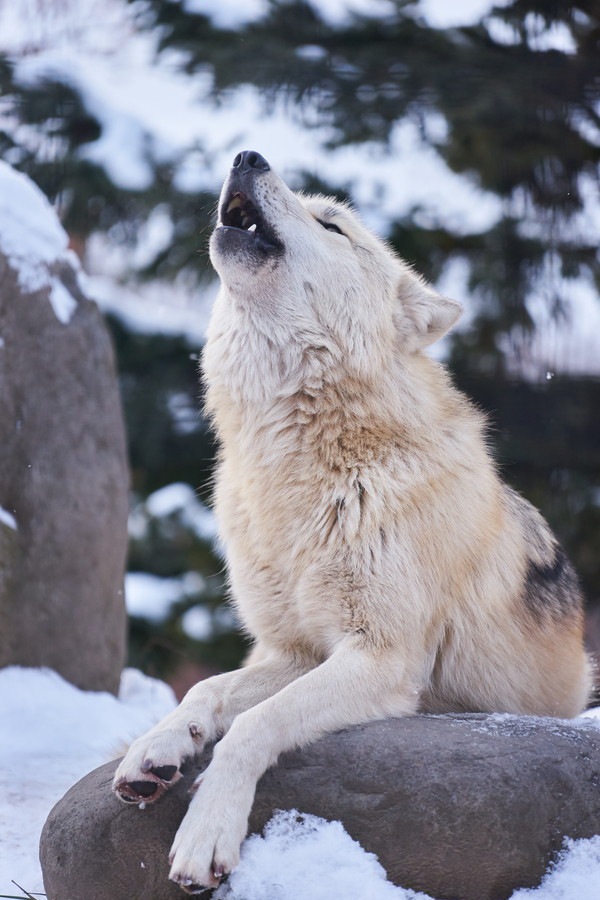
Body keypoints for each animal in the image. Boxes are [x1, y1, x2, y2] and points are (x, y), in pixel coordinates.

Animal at [111, 151, 592, 888]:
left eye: (332, 224)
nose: (247, 156)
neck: (305, 463)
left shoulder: (380, 658)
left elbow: (253, 726)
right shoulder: (295, 651)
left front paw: (207, 832)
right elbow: (209, 690)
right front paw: (157, 747)